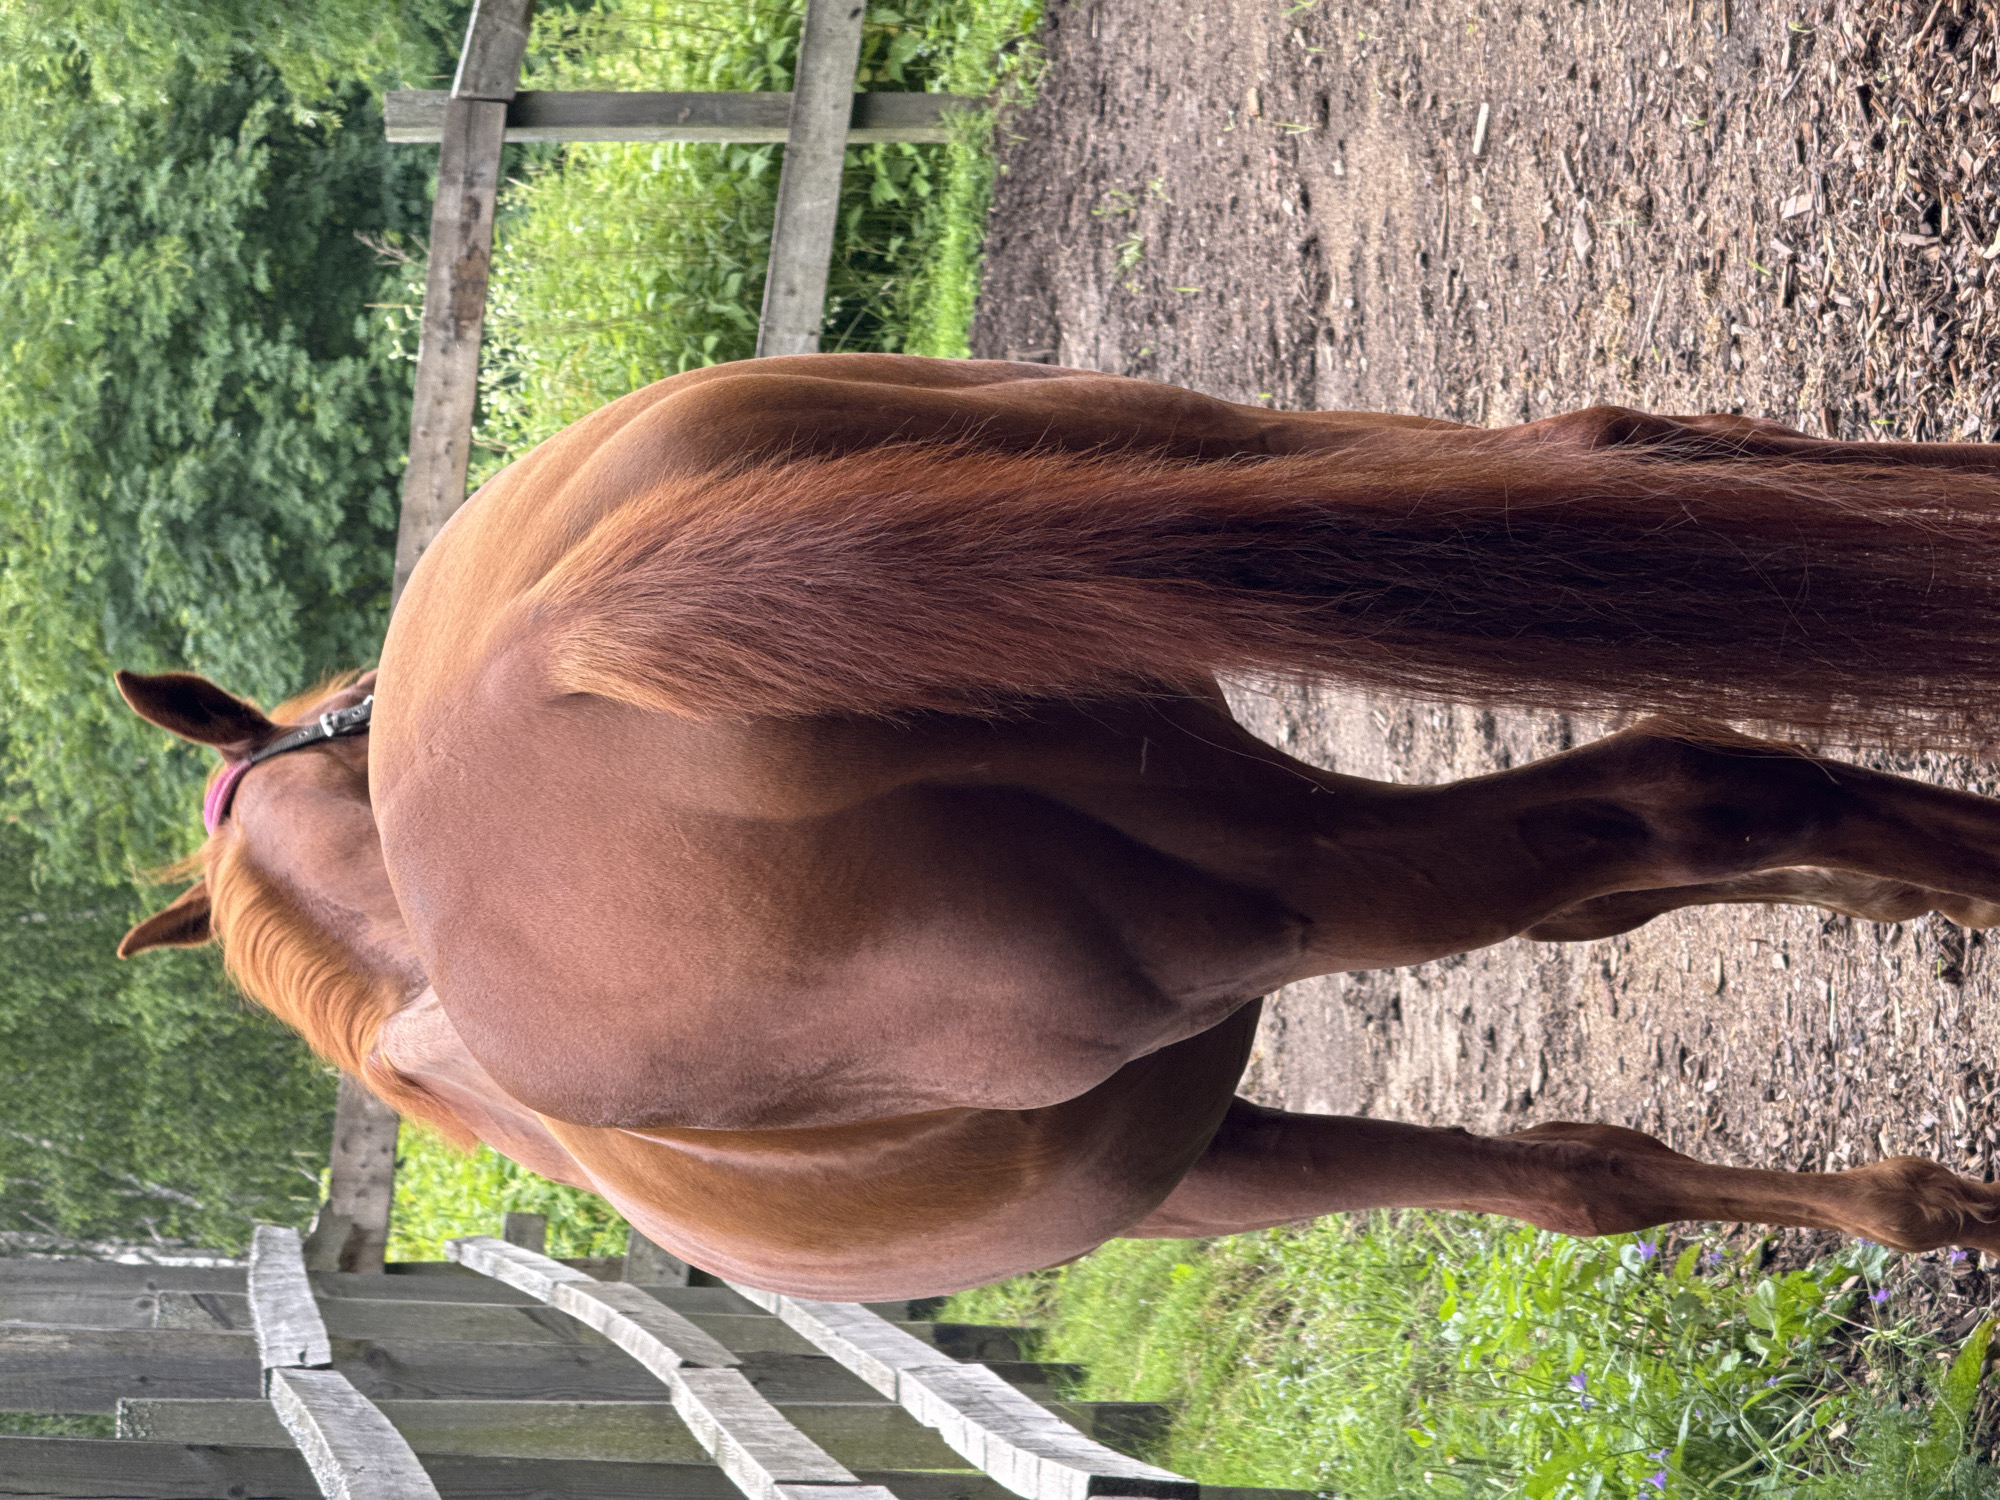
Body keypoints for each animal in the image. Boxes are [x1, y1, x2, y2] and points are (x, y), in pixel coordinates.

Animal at [115, 353, 2000, 1298]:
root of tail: (558, 643)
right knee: (1627, 468)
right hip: (1198, 482)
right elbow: (1585, 1167)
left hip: (1283, 869)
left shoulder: (1200, 1166)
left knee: (1688, 786)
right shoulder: (1218, 1157)